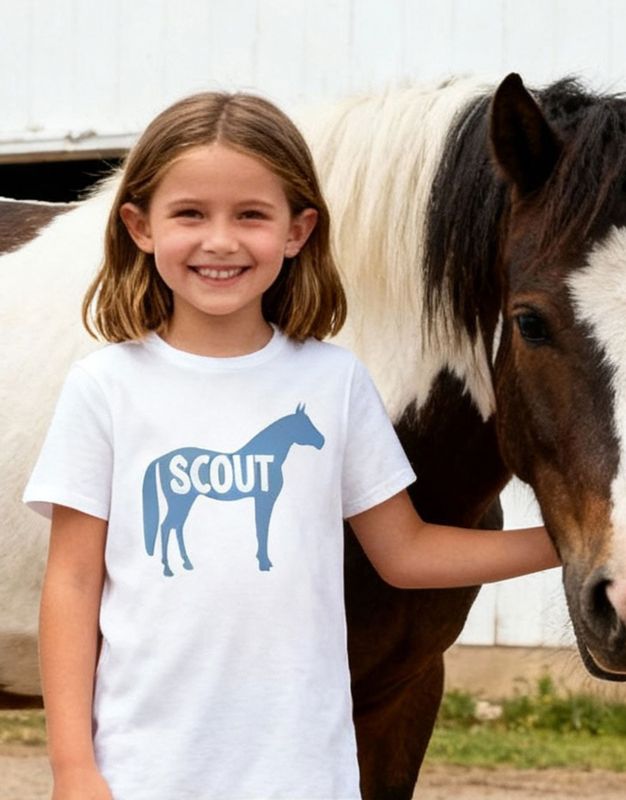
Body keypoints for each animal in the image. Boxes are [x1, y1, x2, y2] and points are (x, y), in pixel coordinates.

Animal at [141, 404, 325, 575]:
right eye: (305, 424)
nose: (322, 441)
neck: (264, 458)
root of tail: (161, 459)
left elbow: (261, 529)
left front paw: (264, 560)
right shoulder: (264, 500)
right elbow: (262, 529)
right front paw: (264, 563)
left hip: (185, 501)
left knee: (177, 526)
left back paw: (186, 563)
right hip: (180, 502)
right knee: (167, 526)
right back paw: (168, 569)